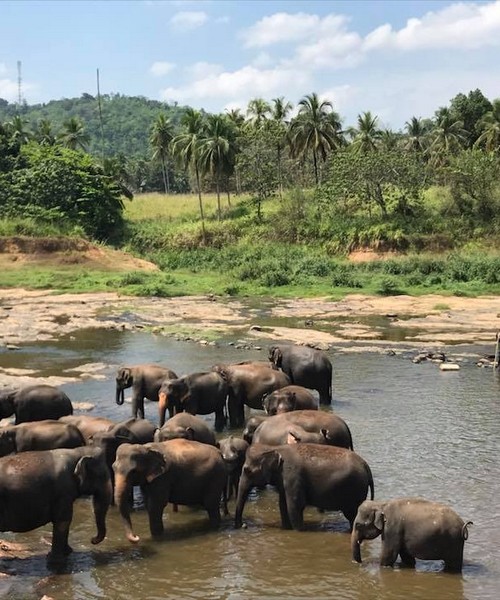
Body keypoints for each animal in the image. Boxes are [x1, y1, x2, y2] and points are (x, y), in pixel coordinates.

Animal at [236, 440, 374, 528]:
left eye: (247, 470)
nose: (244, 525)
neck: (275, 447)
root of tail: (365, 465)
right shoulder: (285, 480)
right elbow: (283, 505)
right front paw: (286, 529)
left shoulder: (293, 475)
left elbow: (295, 506)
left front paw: (299, 531)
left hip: (355, 490)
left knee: (352, 515)